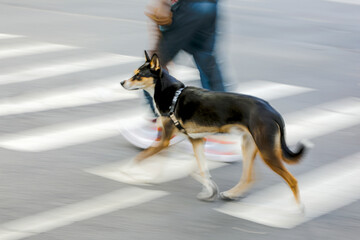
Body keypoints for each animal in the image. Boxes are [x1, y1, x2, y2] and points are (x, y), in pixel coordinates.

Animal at [121, 51, 306, 205]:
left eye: (138, 75)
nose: (122, 82)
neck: (173, 96)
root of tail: (272, 110)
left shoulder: (165, 141)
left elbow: (140, 157)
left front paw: (128, 170)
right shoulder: (195, 140)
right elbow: (200, 170)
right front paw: (208, 190)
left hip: (267, 152)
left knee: (292, 180)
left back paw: (298, 211)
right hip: (249, 145)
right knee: (249, 177)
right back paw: (231, 194)